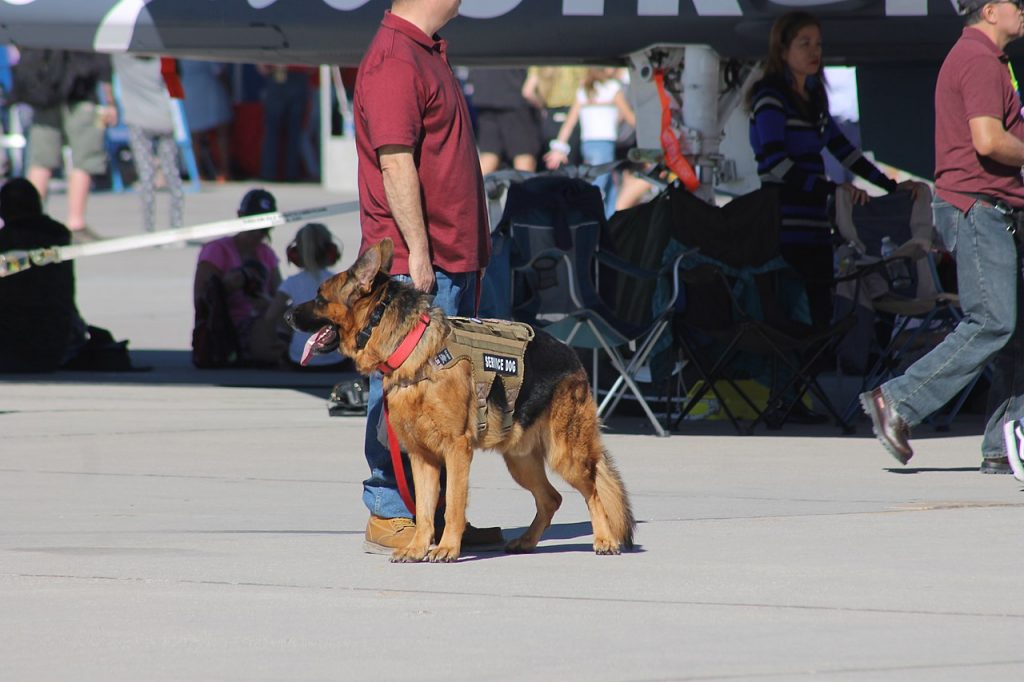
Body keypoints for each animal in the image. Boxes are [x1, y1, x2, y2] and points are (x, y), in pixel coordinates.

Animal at [286, 241, 630, 561]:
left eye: (319, 298)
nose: (287, 314)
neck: (412, 348)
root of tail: (571, 352)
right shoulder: (421, 457)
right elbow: (425, 510)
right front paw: (418, 548)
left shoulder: (456, 451)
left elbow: (452, 504)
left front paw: (448, 548)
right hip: (520, 460)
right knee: (551, 499)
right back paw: (527, 542)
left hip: (566, 456)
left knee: (593, 492)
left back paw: (605, 540)